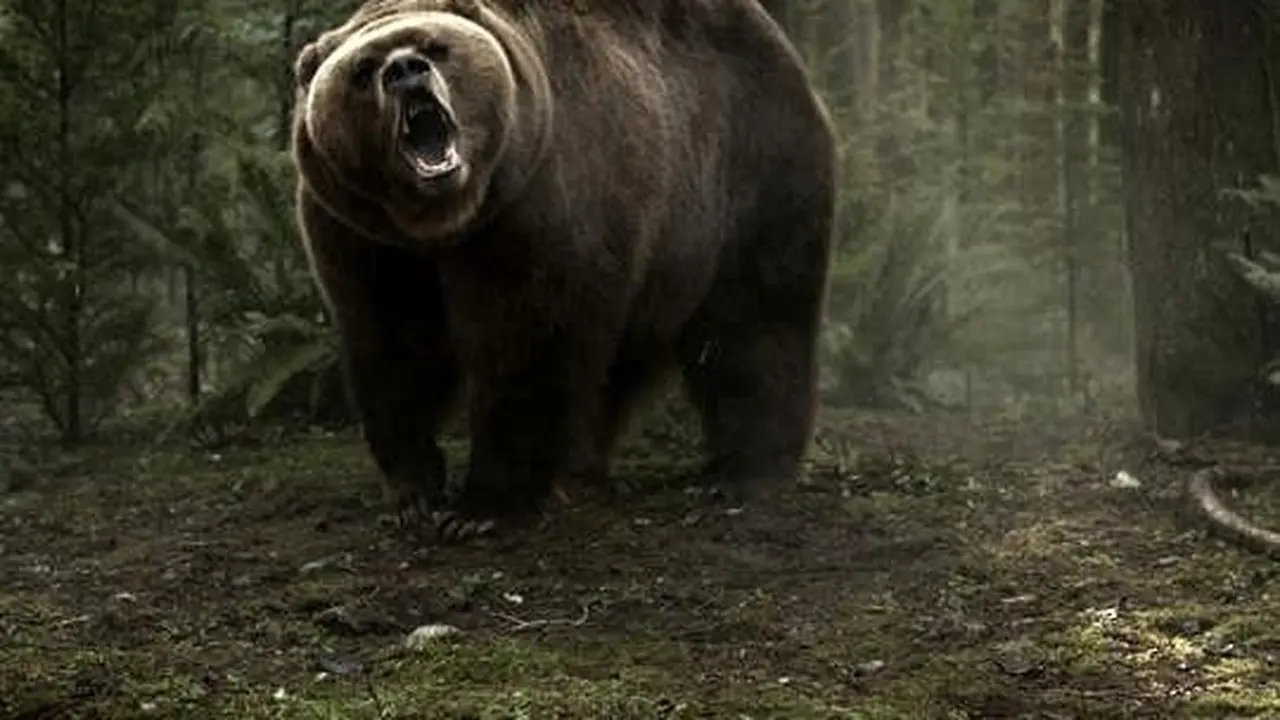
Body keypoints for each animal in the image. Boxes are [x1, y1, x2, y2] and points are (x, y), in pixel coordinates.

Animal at [290, 0, 838, 543]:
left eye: (436, 46)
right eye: (363, 68)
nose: (405, 70)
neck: (443, 221)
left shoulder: (533, 204)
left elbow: (525, 344)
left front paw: (483, 509)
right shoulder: (362, 236)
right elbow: (394, 348)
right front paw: (415, 494)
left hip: (746, 160)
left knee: (754, 322)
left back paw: (741, 472)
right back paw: (583, 468)